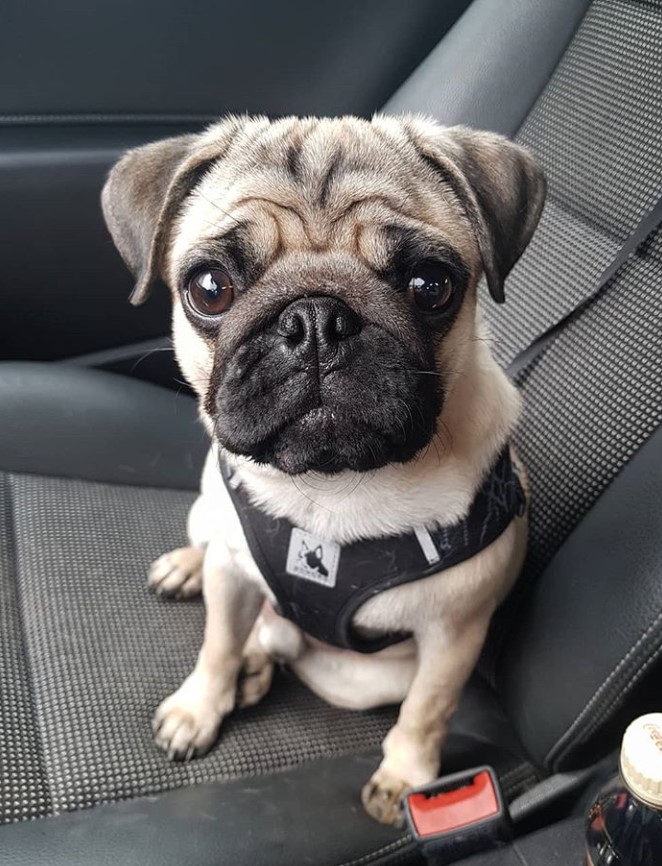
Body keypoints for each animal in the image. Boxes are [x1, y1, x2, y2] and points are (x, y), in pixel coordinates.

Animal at [101, 115, 548, 824]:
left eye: (430, 285)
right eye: (209, 288)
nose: (316, 319)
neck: (327, 488)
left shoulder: (453, 634)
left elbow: (428, 709)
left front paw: (406, 777)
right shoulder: (233, 576)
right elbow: (217, 645)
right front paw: (200, 707)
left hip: (361, 679)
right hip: (210, 518)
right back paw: (192, 579)